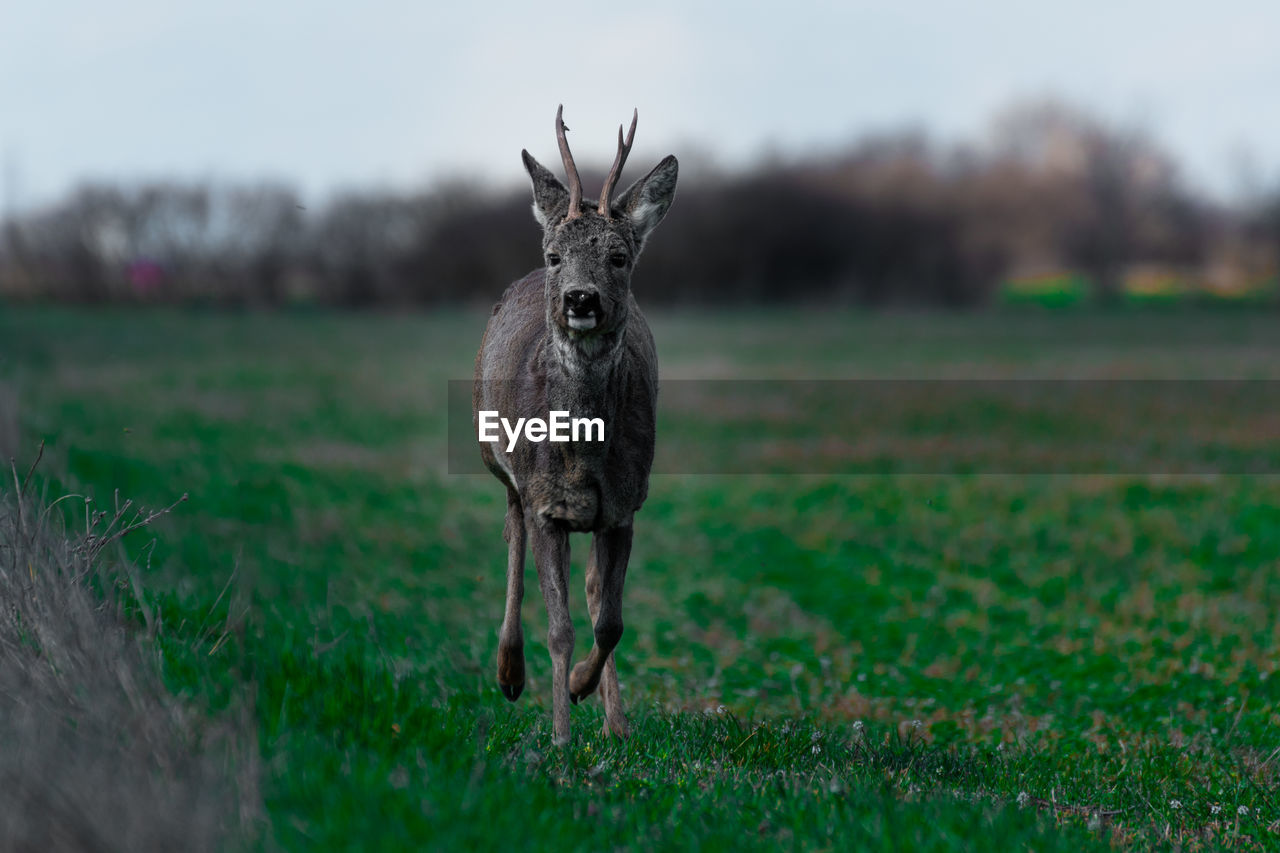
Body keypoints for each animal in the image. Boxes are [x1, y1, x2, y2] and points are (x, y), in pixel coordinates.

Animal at [476, 106, 680, 742]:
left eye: (619, 257)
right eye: (555, 256)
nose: (580, 299)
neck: (583, 455)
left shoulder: (624, 505)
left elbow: (609, 620)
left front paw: (584, 690)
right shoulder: (546, 503)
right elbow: (559, 627)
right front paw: (561, 736)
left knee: (591, 592)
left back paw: (616, 721)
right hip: (498, 461)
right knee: (510, 534)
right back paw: (509, 673)